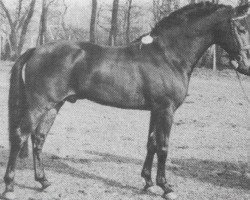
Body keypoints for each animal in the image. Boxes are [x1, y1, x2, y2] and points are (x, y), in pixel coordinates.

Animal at [1, 1, 250, 200]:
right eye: (240, 28)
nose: (245, 65)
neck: (168, 55)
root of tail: (35, 49)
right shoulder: (166, 110)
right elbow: (163, 146)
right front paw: (166, 187)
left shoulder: (155, 110)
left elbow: (151, 143)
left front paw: (148, 183)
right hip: (39, 105)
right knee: (20, 137)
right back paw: (10, 187)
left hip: (54, 106)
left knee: (38, 139)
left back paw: (44, 182)